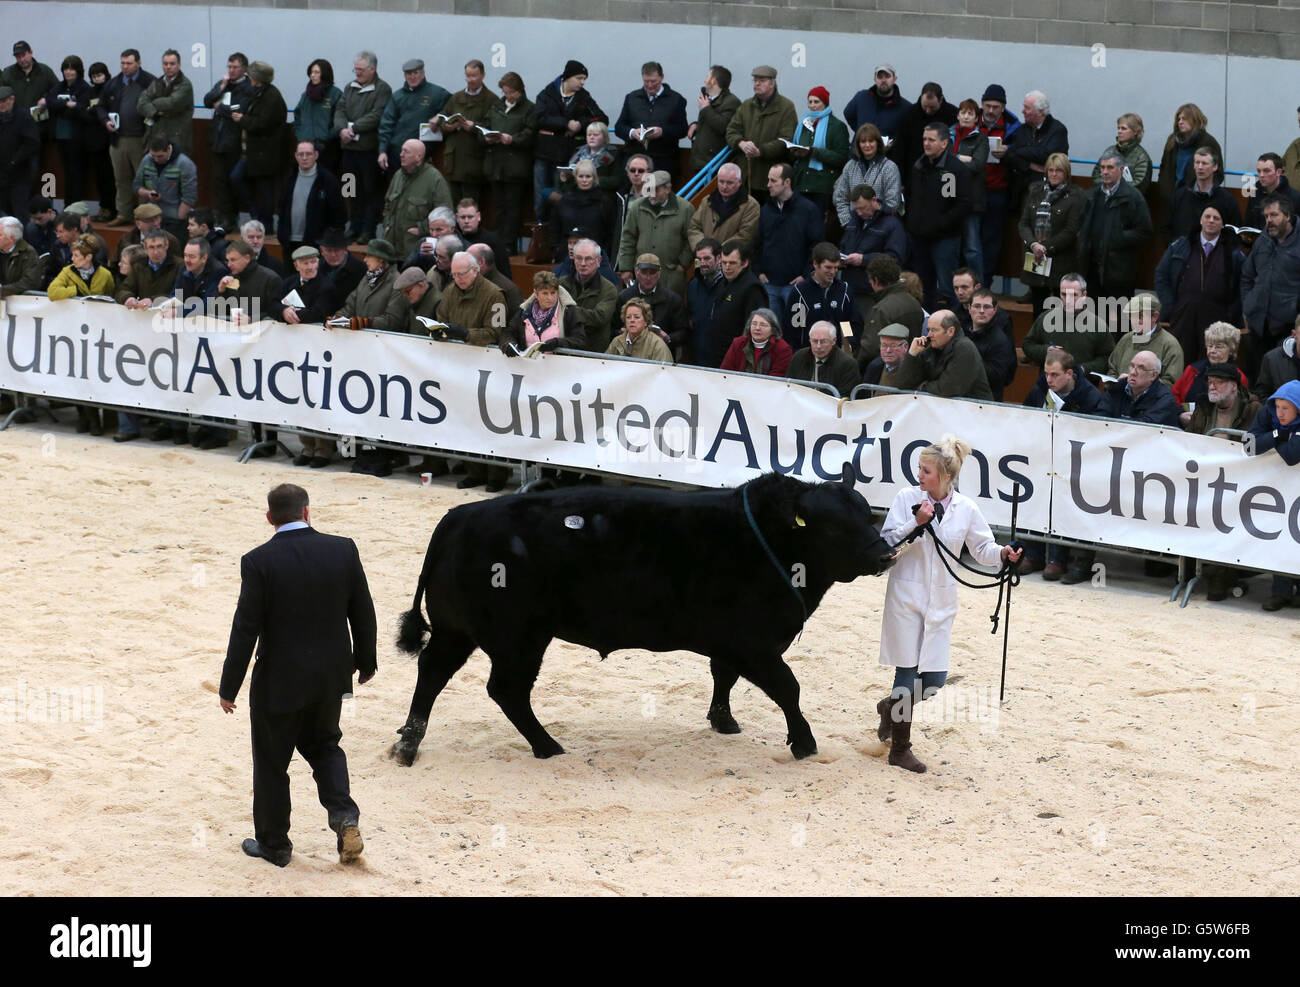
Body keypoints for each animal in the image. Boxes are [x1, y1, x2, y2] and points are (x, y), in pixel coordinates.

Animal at [387, 465, 894, 764]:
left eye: (867, 515)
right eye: (834, 525)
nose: (885, 554)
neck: (771, 540)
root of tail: (458, 516)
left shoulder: (732, 643)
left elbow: (723, 677)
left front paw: (723, 721)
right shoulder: (756, 645)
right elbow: (788, 689)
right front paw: (804, 743)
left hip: (458, 631)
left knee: (432, 673)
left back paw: (408, 744)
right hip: (518, 639)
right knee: (505, 690)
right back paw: (547, 746)